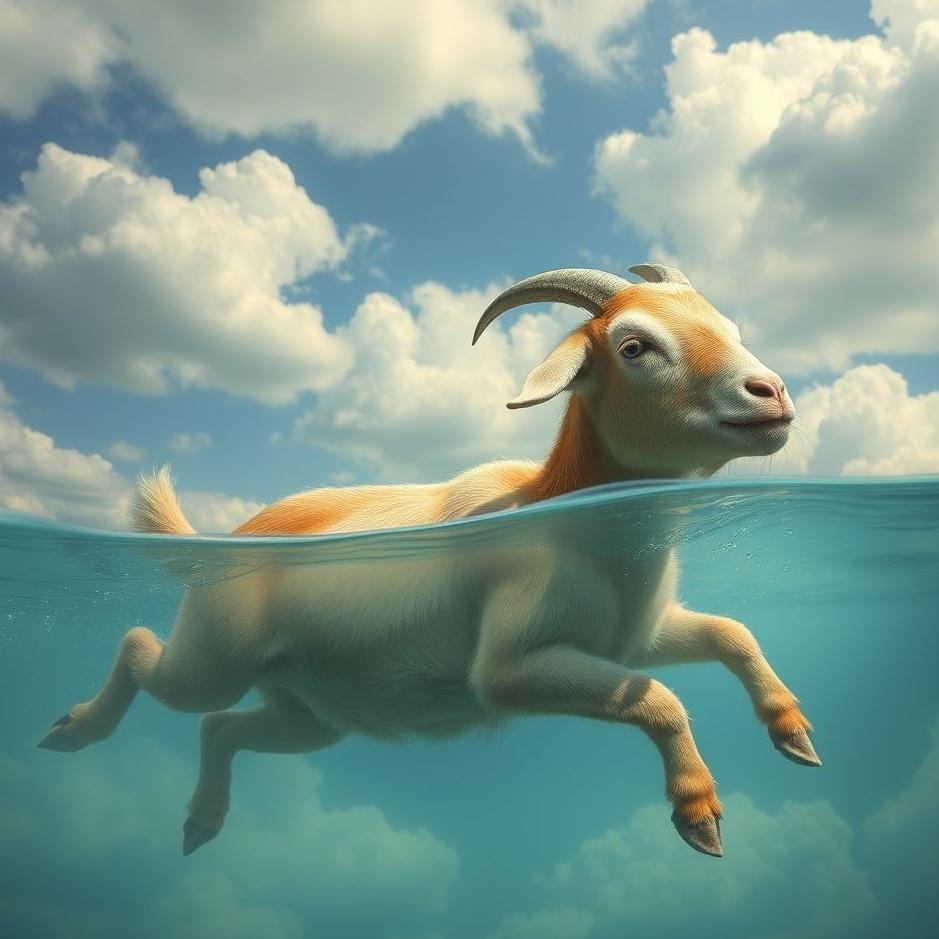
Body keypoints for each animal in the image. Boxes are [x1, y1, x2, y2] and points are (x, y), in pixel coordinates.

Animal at [38, 265, 819, 858]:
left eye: (731, 328)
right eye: (634, 346)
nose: (772, 394)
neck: (555, 508)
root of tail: (232, 534)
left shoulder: (633, 639)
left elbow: (730, 633)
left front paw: (793, 733)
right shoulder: (512, 669)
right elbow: (658, 697)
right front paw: (698, 813)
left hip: (310, 714)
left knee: (220, 727)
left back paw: (200, 822)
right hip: (213, 656)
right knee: (145, 650)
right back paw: (73, 731)